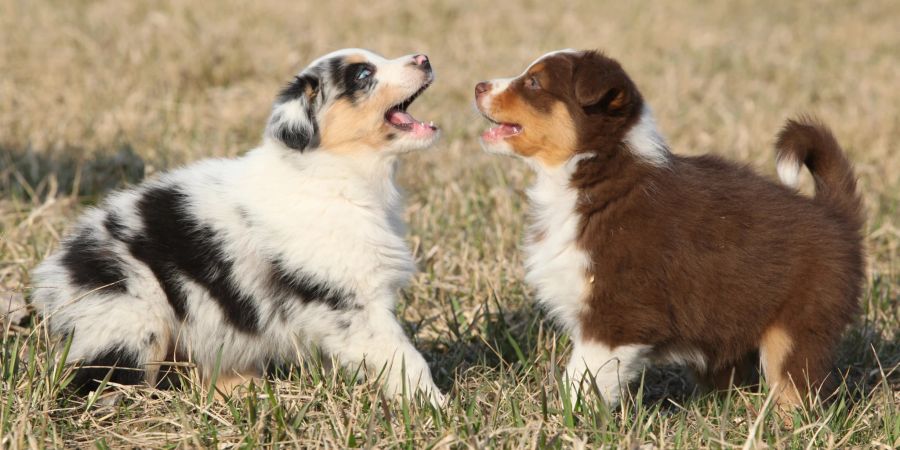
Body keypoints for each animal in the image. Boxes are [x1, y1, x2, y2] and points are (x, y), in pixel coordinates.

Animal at [29, 49, 444, 404]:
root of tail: (53, 274)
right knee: (108, 379)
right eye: (362, 75)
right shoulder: (353, 303)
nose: (425, 57)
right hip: (133, 315)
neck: (333, 173)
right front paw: (434, 406)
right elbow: (404, 356)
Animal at [478, 50, 864, 408]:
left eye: (534, 82)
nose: (479, 85)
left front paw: (569, 420)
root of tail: (833, 214)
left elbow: (581, 378)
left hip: (797, 328)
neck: (595, 173)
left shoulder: (617, 317)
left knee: (798, 391)